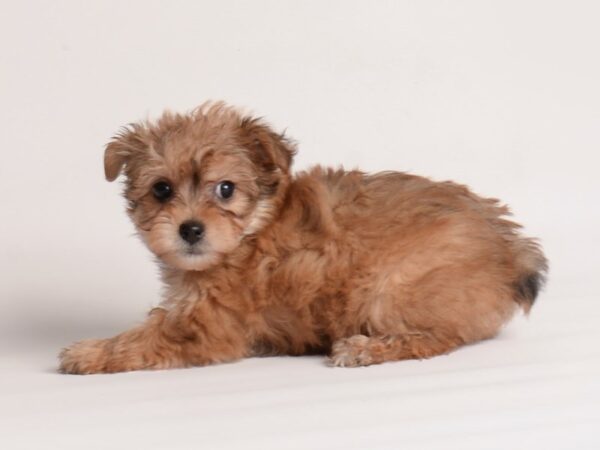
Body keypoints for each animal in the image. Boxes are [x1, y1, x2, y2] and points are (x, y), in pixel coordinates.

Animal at [58, 103, 548, 374]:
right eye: (161, 190)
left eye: (225, 189)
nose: (191, 229)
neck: (251, 230)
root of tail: (511, 249)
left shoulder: (203, 327)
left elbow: (140, 339)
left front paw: (88, 352)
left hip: (390, 288)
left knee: (435, 338)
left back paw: (363, 349)